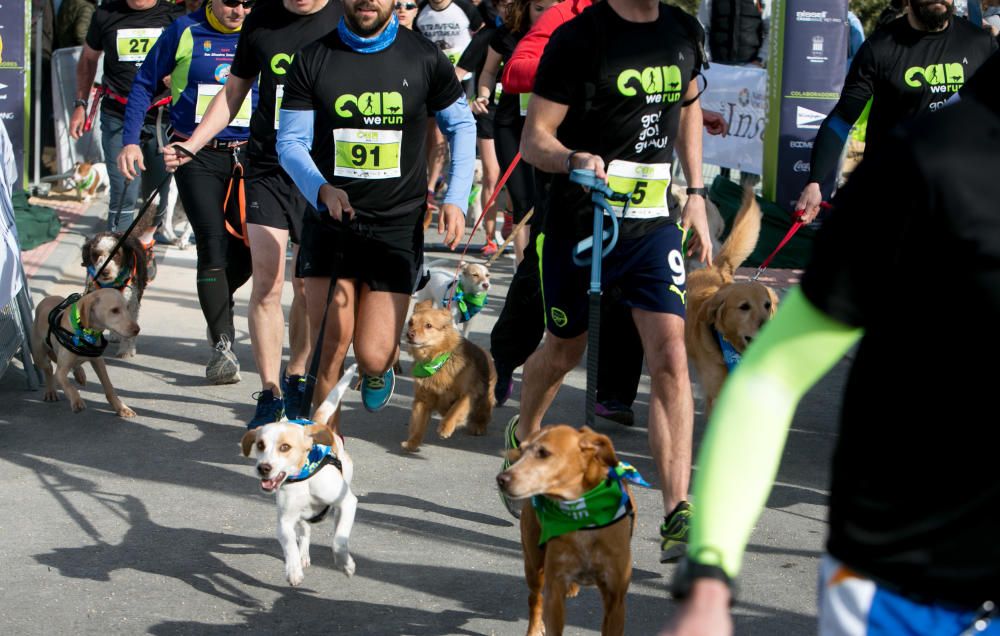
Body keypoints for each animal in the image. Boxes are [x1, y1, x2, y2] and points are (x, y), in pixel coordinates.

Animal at [30, 288, 139, 418]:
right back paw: (51, 391)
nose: (137, 330)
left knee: (74, 365)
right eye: (114, 310)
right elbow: (69, 386)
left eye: (128, 307)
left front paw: (121, 408)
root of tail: (47, 299)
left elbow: (109, 387)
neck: (85, 333)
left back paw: (80, 374)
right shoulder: (60, 372)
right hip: (39, 356)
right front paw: (77, 401)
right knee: (48, 368)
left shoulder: (98, 361)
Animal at [241, 366, 360, 584]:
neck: (303, 479)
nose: (263, 468)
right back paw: (303, 556)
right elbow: (290, 545)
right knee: (305, 531)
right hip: (302, 515)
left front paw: (345, 565)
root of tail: (313, 423)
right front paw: (293, 569)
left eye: (285, 447)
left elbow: (338, 540)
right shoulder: (285, 521)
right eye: (260, 445)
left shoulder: (347, 502)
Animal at [402, 300, 496, 452]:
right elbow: (418, 423)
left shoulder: (468, 393)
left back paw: (478, 426)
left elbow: (456, 410)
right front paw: (413, 442)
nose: (409, 334)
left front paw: (445, 427)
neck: (435, 361)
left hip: (484, 397)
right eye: (410, 323)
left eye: (428, 325)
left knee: (483, 412)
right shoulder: (423, 398)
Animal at [492, 422, 648, 636]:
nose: (501, 479)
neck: (583, 521)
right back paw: (534, 628)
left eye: (543, 452)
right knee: (535, 598)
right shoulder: (555, 591)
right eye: (522, 451)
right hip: (534, 565)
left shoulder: (615, 599)